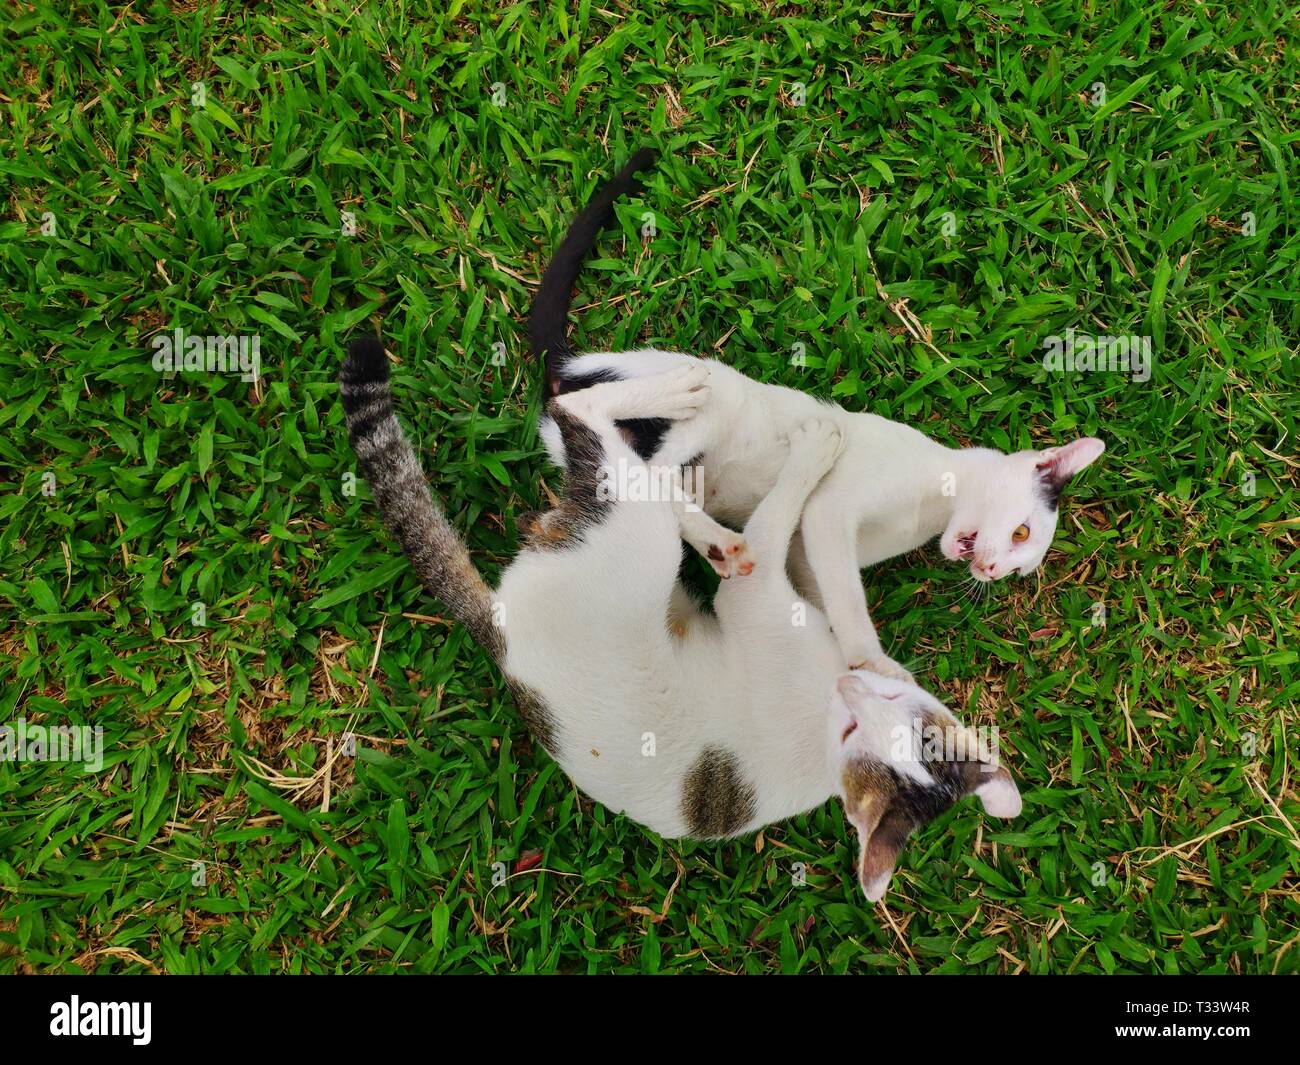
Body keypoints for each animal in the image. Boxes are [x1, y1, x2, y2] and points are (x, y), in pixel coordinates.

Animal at [340, 340, 1019, 899]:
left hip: (634, 537)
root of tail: (503, 632)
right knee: (595, 423)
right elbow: (815, 550)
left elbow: (777, 520)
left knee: (581, 415)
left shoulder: (752, 591)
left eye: (863, 727)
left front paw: (811, 453)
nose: (853, 685)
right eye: (900, 709)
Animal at [533, 147, 1102, 681]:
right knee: (647, 465)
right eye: (1021, 533)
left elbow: (818, 595)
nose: (990, 570)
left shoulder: (806, 562)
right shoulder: (831, 511)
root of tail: (570, 368)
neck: (933, 507)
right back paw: (716, 538)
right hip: (710, 397)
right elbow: (848, 599)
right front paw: (875, 664)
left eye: (1017, 569)